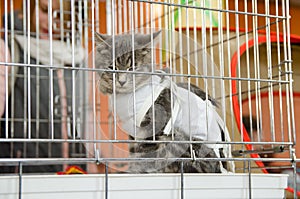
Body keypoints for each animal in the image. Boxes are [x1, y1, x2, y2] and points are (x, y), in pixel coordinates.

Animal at [95, 31, 229, 173]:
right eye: (112, 67)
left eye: (132, 68)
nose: (121, 81)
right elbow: (134, 151)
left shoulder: (154, 126)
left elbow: (145, 155)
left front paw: (137, 171)